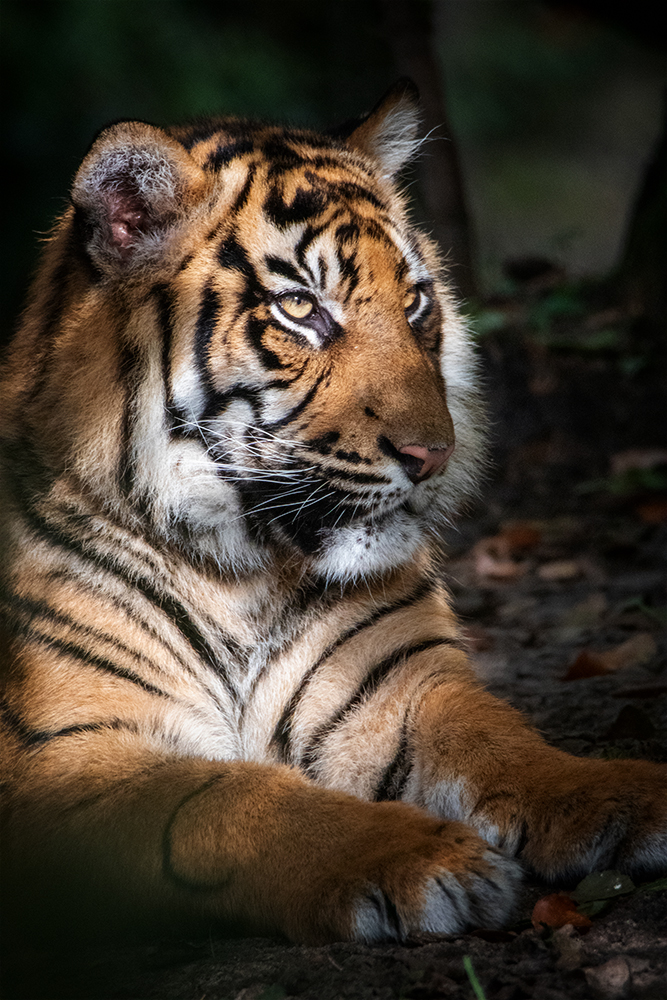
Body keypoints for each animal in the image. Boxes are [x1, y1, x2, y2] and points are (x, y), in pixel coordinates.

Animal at [1, 80, 667, 944]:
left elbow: (500, 737)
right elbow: (225, 798)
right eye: (299, 308)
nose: (433, 455)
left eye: (414, 302)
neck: (243, 573)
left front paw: (619, 791)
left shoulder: (403, 683)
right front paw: (422, 858)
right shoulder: (60, 758)